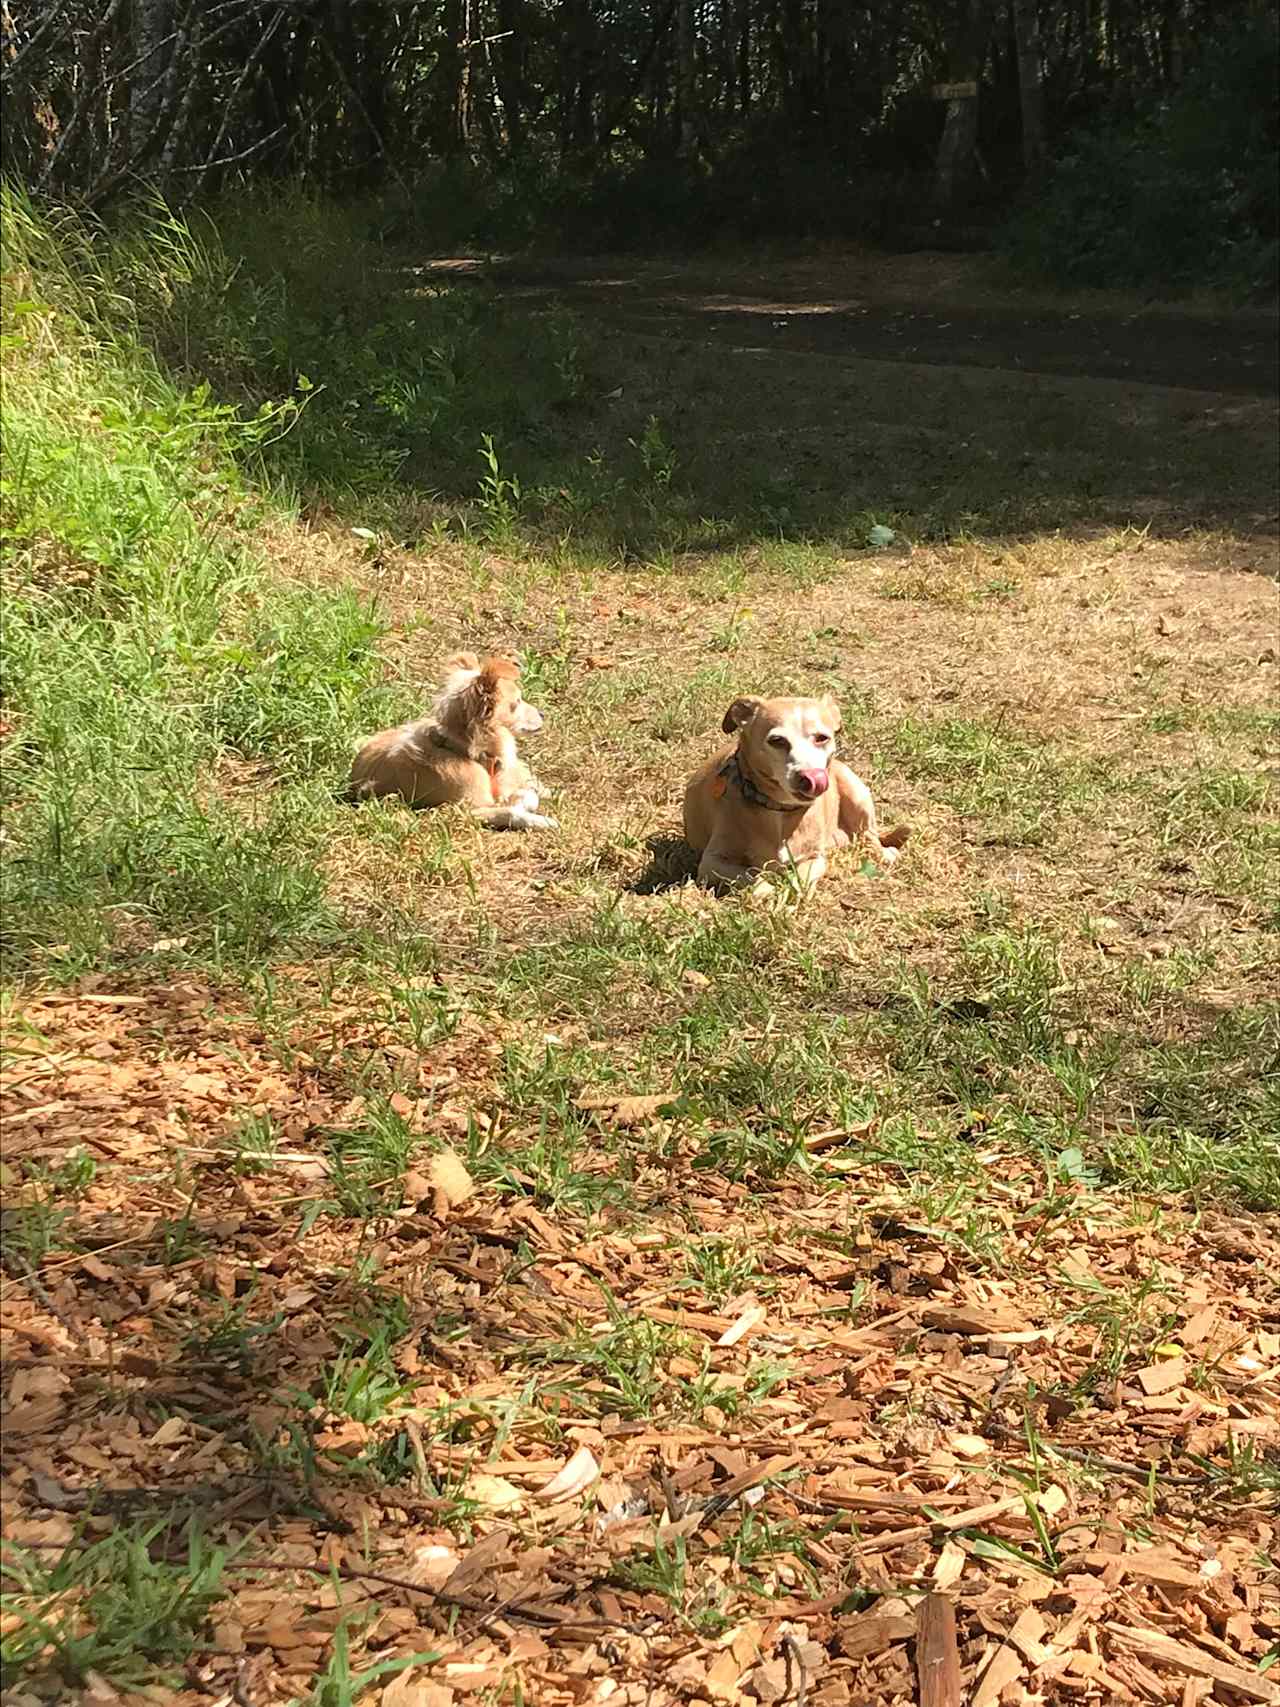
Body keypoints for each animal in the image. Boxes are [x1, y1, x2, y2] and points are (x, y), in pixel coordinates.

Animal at [351, 652, 556, 833]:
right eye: (517, 702)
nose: (543, 714)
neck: (462, 750)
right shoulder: (462, 811)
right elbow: (509, 811)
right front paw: (539, 820)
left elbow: (527, 795)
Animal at [686, 693, 907, 894]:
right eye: (777, 740)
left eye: (822, 738)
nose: (810, 777)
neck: (779, 810)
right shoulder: (712, 863)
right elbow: (751, 875)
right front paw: (767, 890)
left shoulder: (815, 858)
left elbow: (801, 876)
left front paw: (794, 887)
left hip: (857, 794)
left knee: (869, 835)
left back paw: (884, 854)